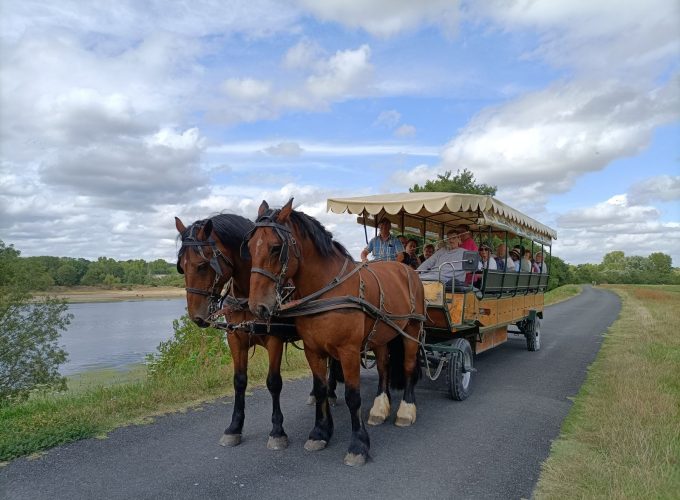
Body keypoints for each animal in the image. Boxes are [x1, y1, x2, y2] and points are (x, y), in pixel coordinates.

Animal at [174, 214, 290, 450]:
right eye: (181, 266)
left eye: (202, 266)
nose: (196, 316)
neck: (249, 296)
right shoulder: (235, 338)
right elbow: (239, 381)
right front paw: (234, 427)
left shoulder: (275, 338)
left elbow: (274, 382)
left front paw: (277, 430)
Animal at [244, 198, 424, 464]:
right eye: (249, 246)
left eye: (276, 248)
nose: (257, 306)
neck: (327, 291)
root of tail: (408, 270)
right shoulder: (313, 350)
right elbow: (320, 390)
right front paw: (320, 432)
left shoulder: (348, 351)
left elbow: (352, 396)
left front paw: (358, 444)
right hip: (381, 334)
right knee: (383, 367)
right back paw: (380, 408)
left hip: (412, 327)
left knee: (409, 366)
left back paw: (406, 410)